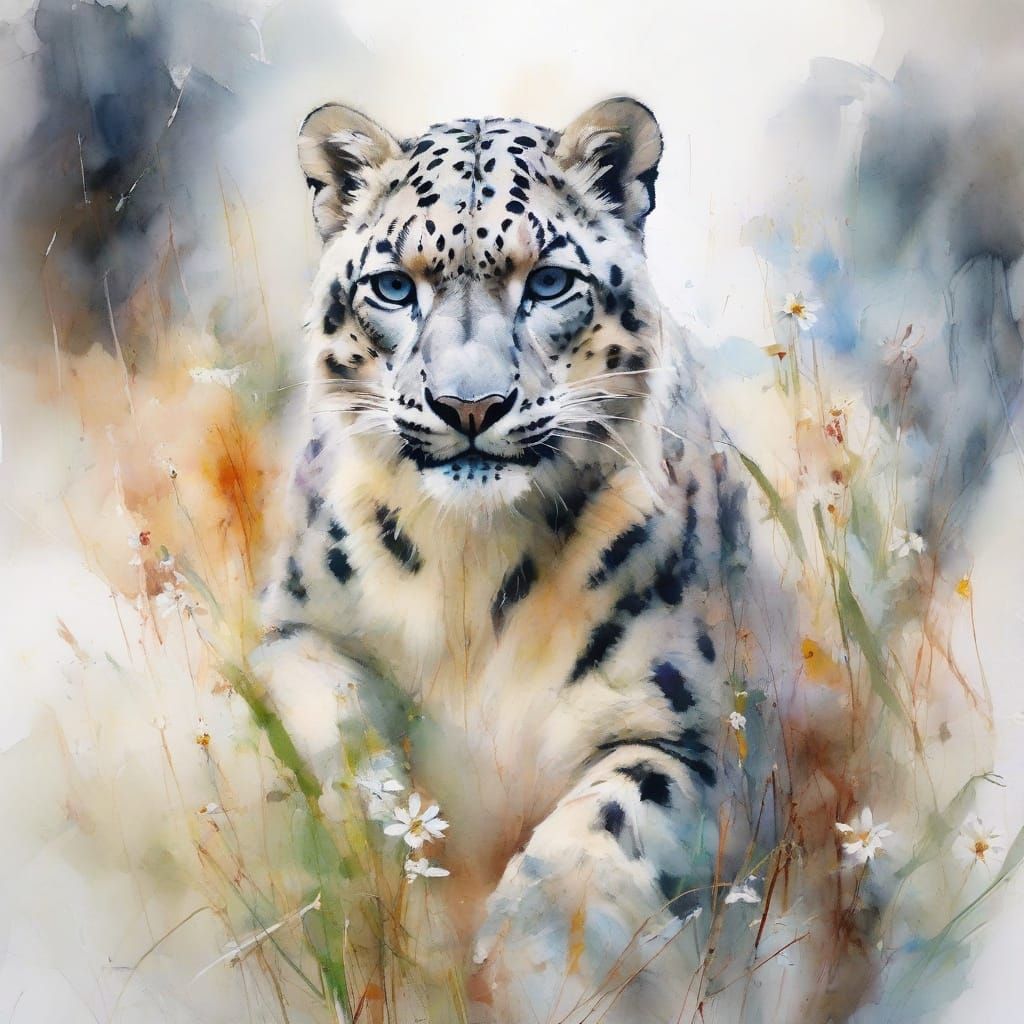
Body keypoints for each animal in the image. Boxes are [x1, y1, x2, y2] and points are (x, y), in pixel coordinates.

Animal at [254, 97, 771, 1023]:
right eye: (395, 286)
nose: (470, 405)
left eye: (550, 282)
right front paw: (404, 883)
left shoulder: (693, 723)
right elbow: (345, 731)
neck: (474, 570)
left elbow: (612, 806)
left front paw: (539, 957)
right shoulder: (290, 628)